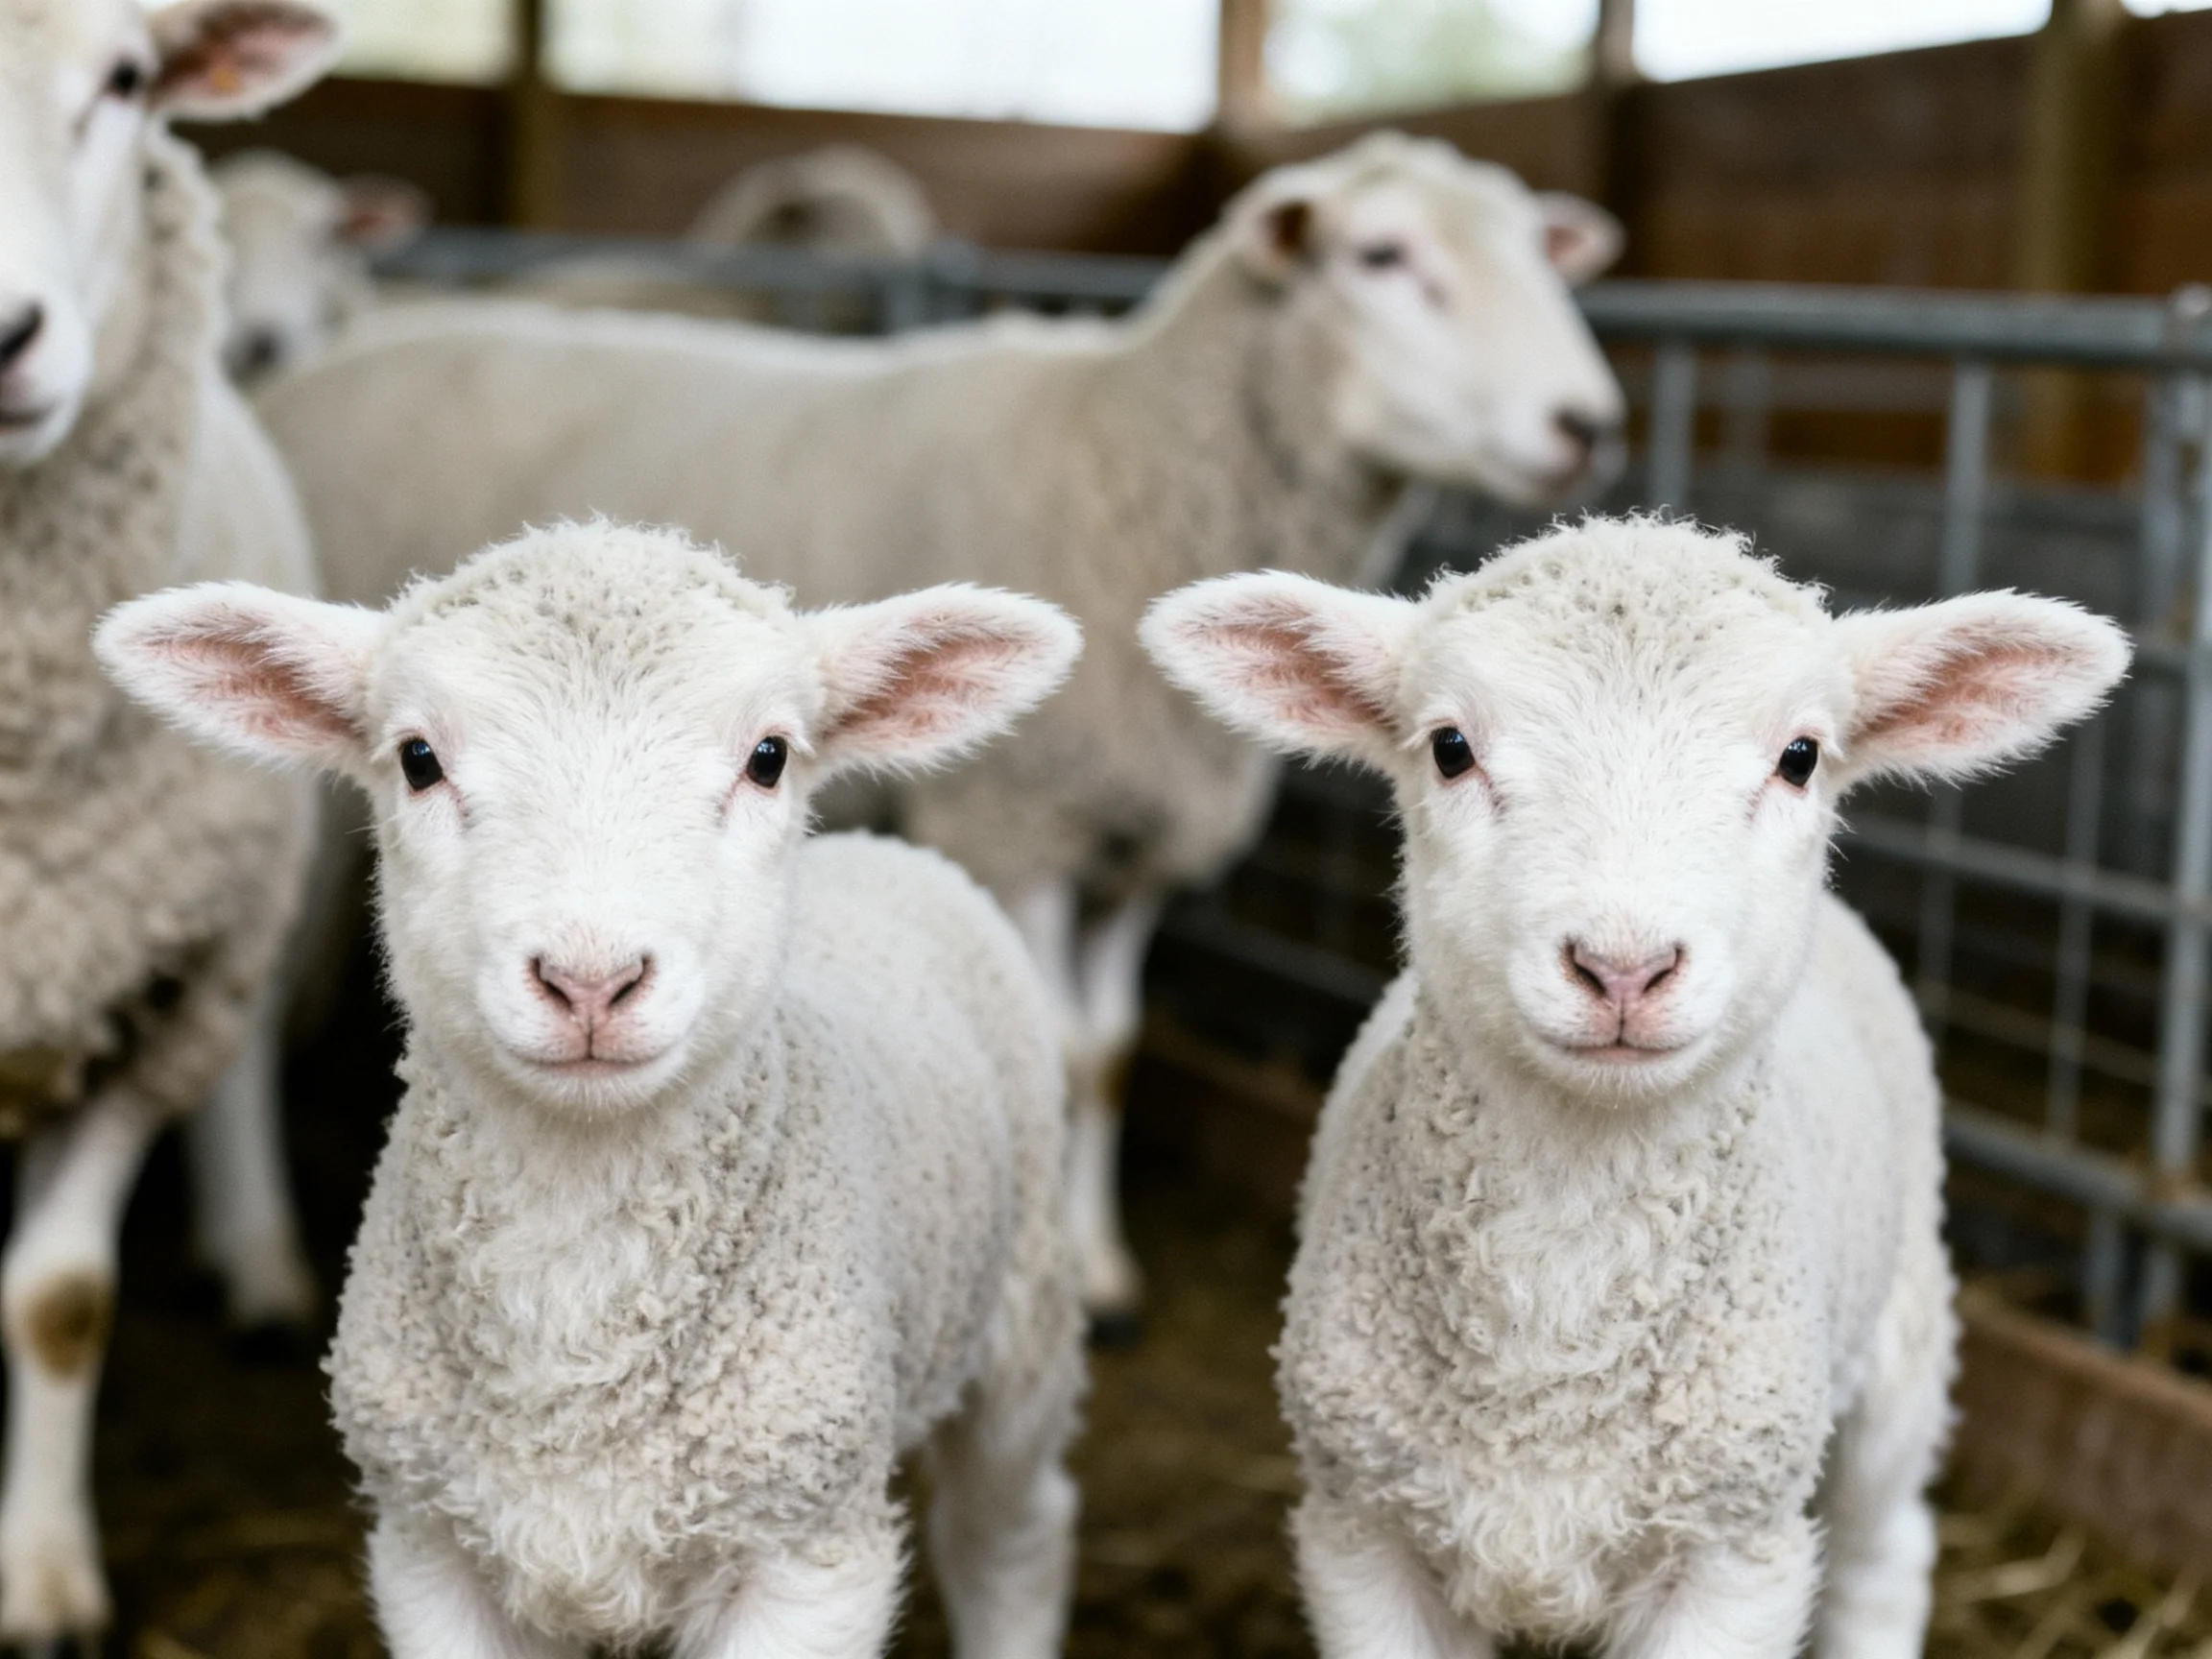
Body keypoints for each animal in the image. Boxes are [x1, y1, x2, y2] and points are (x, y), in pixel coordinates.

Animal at [97, 520, 1089, 1659]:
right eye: (419, 759)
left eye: (769, 756)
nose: (589, 979)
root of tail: (881, 851)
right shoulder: (429, 1546)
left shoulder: (808, 1553)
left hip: (1026, 1307)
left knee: (1010, 1538)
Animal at [256, 129, 1629, 1331]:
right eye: (1384, 255)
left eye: (1538, 252)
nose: (1587, 424)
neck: (1127, 459)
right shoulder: (1013, 817)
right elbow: (1056, 1048)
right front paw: (1066, 1281)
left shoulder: (1140, 827)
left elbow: (1112, 1053)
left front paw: (1103, 1264)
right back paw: (265, 1262)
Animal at [1138, 517, 2131, 1659]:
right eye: (1449, 747)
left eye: (1800, 757)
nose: (1623, 967)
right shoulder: (1361, 1529)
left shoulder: (1734, 1549)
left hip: (1902, 1340)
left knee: (1888, 1551)